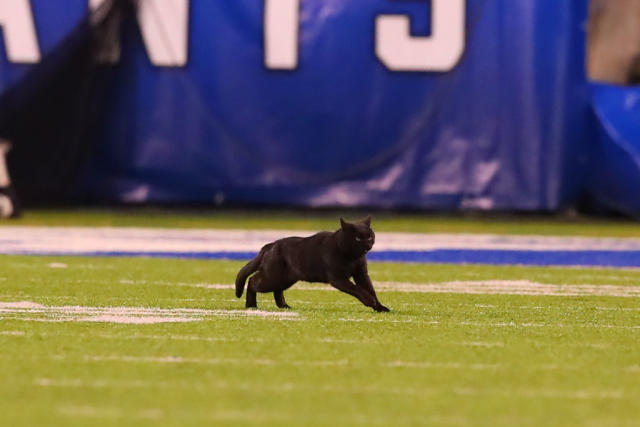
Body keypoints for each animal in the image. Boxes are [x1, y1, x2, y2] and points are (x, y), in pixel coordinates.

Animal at [232, 219, 388, 312]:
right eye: (357, 238)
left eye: (369, 237)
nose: (368, 245)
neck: (353, 257)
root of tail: (271, 244)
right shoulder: (338, 278)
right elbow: (357, 289)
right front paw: (370, 301)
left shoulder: (361, 274)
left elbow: (370, 289)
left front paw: (380, 308)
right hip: (272, 277)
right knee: (252, 280)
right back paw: (251, 306)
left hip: (285, 279)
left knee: (277, 290)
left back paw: (285, 307)